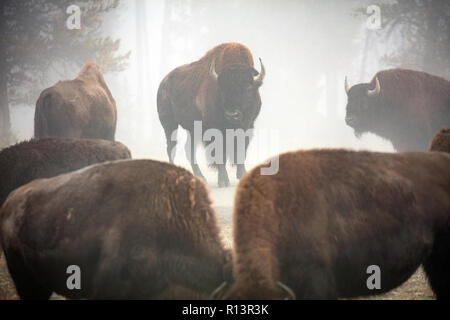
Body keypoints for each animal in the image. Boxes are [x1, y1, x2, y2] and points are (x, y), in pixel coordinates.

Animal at [157, 42, 266, 188]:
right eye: (222, 89)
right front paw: (223, 181)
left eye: (249, 89)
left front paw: (242, 175)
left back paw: (200, 177)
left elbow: (241, 150)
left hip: (192, 129)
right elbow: (220, 154)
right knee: (171, 147)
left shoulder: (248, 126)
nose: (232, 114)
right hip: (169, 124)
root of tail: (163, 83)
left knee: (188, 150)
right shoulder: (214, 129)